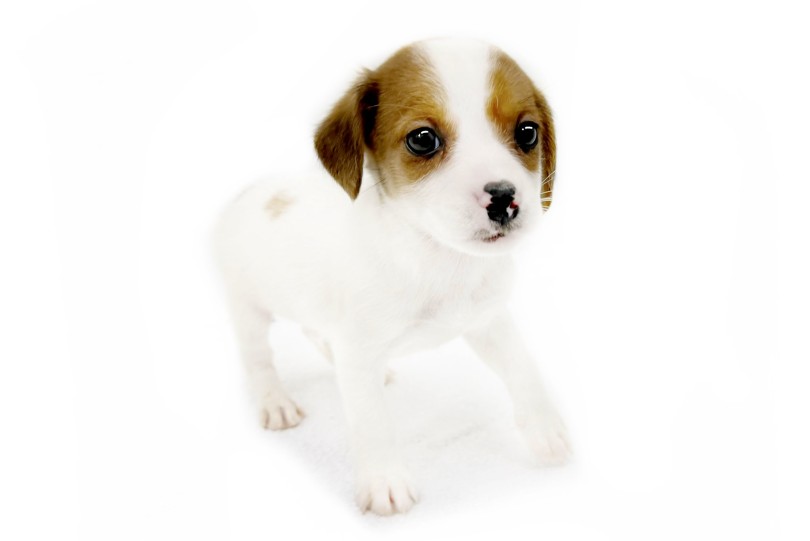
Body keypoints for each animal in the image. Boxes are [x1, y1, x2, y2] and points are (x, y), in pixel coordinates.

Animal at [213, 37, 570, 515]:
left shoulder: (490, 323)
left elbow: (524, 370)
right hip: (247, 309)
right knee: (258, 360)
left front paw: (546, 429)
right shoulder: (358, 351)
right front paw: (384, 481)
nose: (503, 198)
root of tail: (247, 192)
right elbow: (373, 423)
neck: (440, 258)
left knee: (315, 332)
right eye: (423, 139)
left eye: (527, 132)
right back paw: (275, 402)